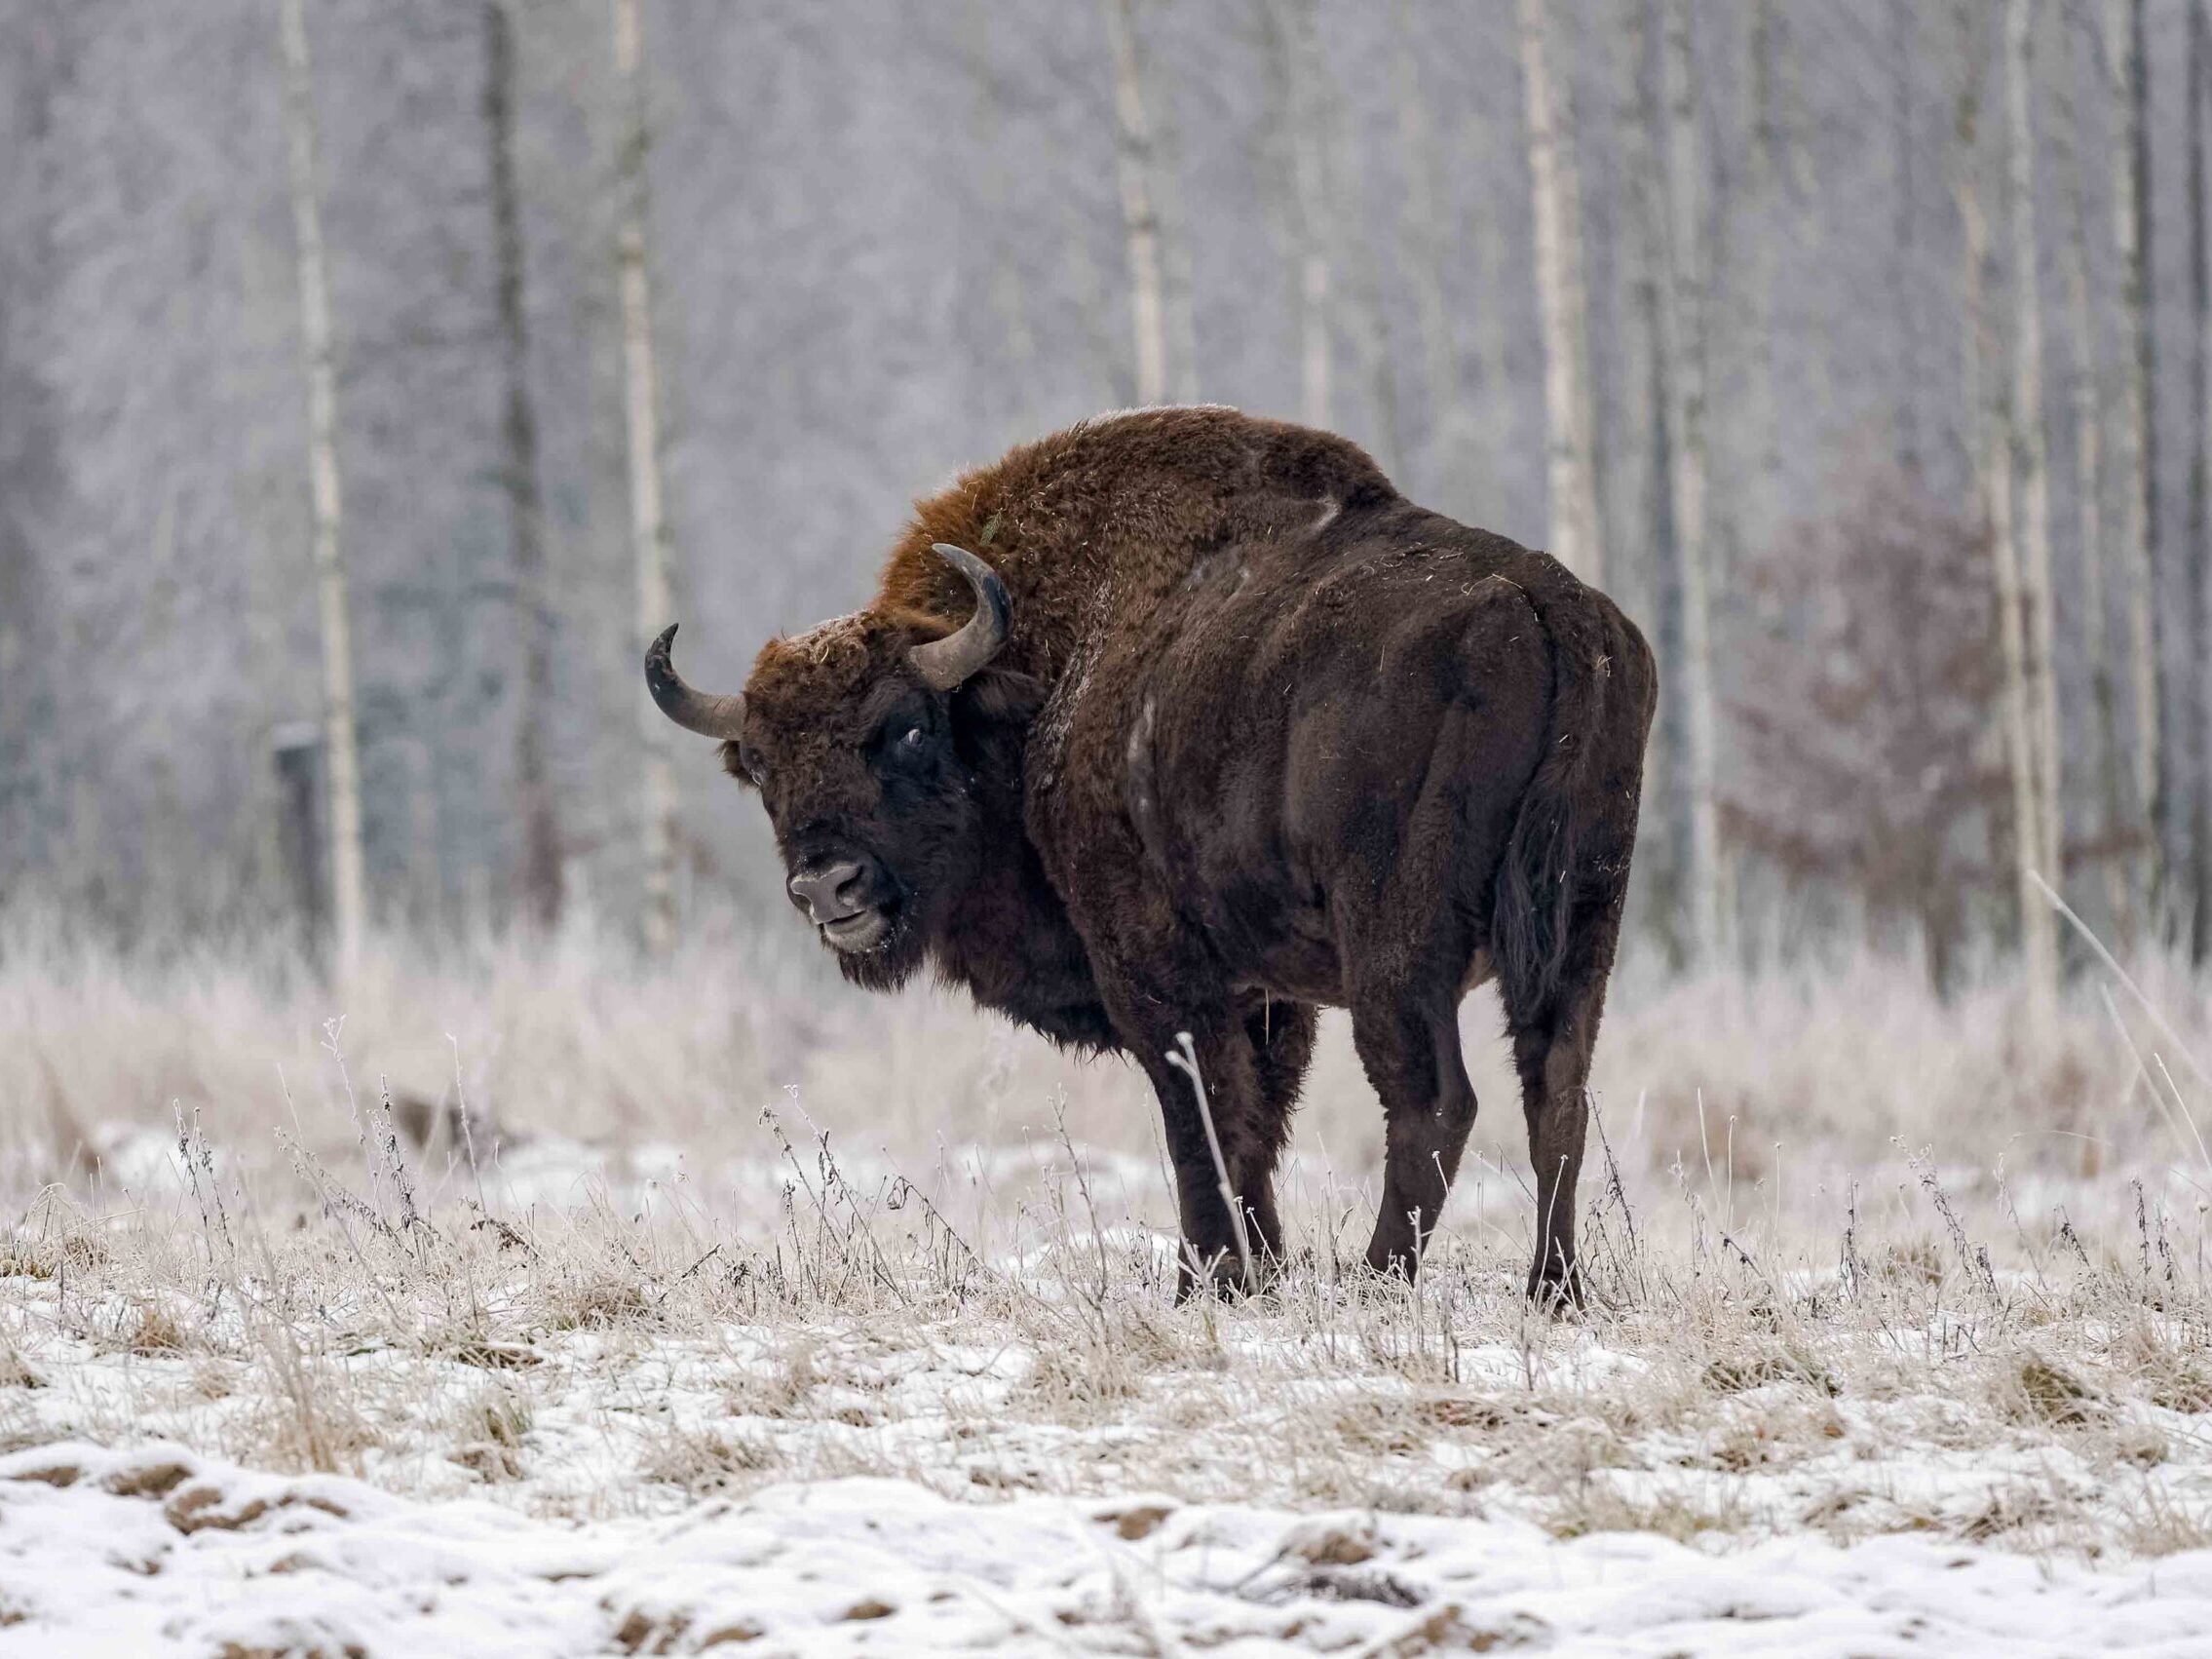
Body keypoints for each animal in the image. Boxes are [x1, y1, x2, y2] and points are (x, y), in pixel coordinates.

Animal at [645, 408, 1654, 1309]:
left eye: (906, 728)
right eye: (760, 764)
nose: (829, 884)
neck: (1039, 686)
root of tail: (1548, 608)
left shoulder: (1160, 978)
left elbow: (1202, 1123)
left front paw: (1208, 1282)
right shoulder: (1264, 996)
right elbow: (1253, 1125)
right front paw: (1258, 1273)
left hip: (1396, 946)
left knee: (1434, 1102)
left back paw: (1377, 1285)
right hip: (1583, 930)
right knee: (1558, 1093)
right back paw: (1553, 1291)